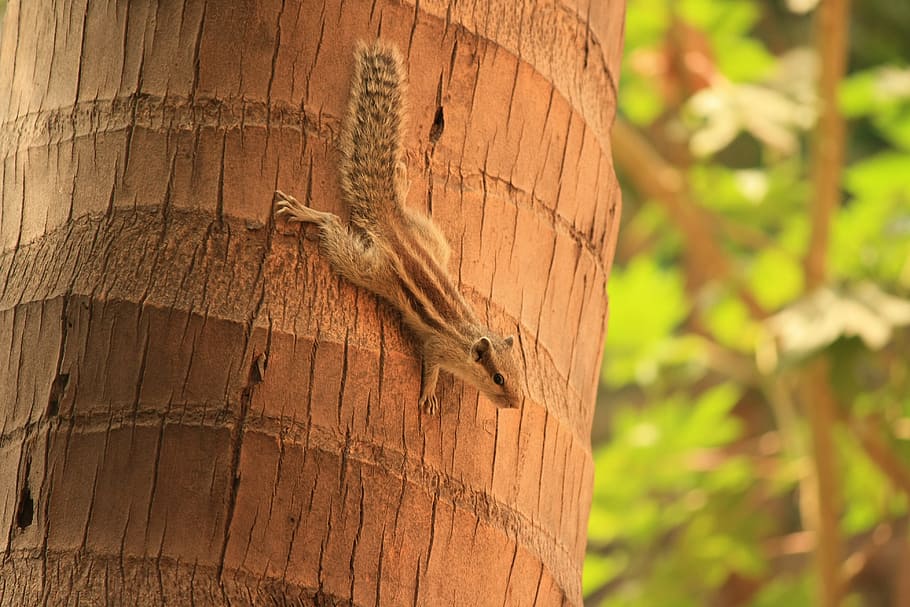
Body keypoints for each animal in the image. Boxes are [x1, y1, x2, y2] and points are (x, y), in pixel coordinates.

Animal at [275, 41, 520, 414]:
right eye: (498, 378)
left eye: (520, 377)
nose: (517, 404)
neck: (466, 338)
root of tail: (394, 227)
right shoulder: (437, 347)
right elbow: (430, 368)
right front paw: (428, 396)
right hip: (372, 270)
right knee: (335, 228)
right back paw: (308, 213)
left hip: (432, 239)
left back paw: (400, 185)